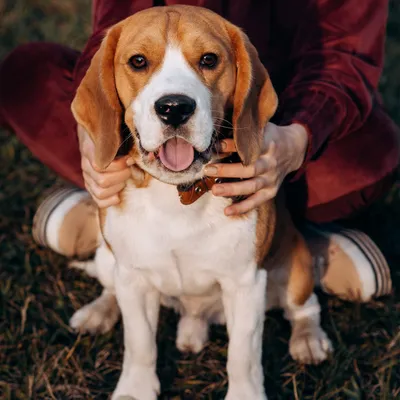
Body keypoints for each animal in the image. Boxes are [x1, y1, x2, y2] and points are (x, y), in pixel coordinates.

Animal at [71, 6, 332, 400]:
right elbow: (140, 343)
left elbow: (242, 354)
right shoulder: (133, 277)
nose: (174, 108)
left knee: (305, 307)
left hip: (297, 265)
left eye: (209, 59)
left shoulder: (245, 283)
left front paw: (245, 395)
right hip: (107, 257)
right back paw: (99, 312)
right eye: (138, 61)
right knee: (111, 288)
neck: (178, 196)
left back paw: (308, 340)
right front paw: (134, 389)